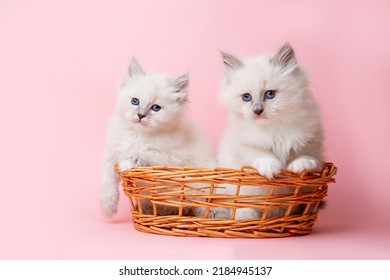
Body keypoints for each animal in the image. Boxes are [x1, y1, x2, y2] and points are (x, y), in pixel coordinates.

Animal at [100, 58, 215, 217]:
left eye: (156, 108)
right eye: (135, 101)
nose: (140, 115)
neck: (138, 135)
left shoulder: (170, 158)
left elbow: (145, 154)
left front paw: (129, 162)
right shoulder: (111, 154)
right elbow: (107, 180)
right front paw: (108, 207)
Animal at [216, 42, 322, 220]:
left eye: (270, 94)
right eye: (246, 97)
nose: (257, 111)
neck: (274, 128)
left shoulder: (311, 142)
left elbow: (305, 156)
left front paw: (300, 166)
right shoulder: (245, 146)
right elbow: (261, 155)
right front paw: (271, 169)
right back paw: (246, 216)